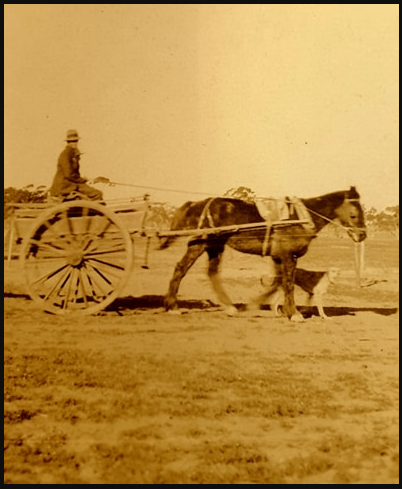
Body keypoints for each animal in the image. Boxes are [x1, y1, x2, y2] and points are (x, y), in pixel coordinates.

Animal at [159, 185, 366, 318]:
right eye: (354, 213)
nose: (362, 234)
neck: (300, 218)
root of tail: (199, 203)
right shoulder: (288, 257)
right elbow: (288, 284)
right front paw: (293, 313)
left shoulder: (278, 257)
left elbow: (278, 284)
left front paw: (268, 306)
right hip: (200, 244)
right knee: (181, 268)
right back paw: (172, 306)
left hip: (215, 246)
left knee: (212, 273)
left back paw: (230, 307)